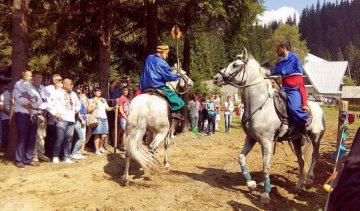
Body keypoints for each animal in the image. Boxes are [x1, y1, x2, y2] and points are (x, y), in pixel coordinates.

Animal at [212, 47, 324, 203]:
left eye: (235, 65)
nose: (216, 78)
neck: (259, 105)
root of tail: (319, 107)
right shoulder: (251, 139)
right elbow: (241, 158)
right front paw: (251, 184)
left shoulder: (266, 141)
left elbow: (266, 167)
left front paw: (265, 194)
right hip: (296, 141)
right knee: (301, 161)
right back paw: (299, 185)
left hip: (315, 137)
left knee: (315, 155)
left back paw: (309, 179)